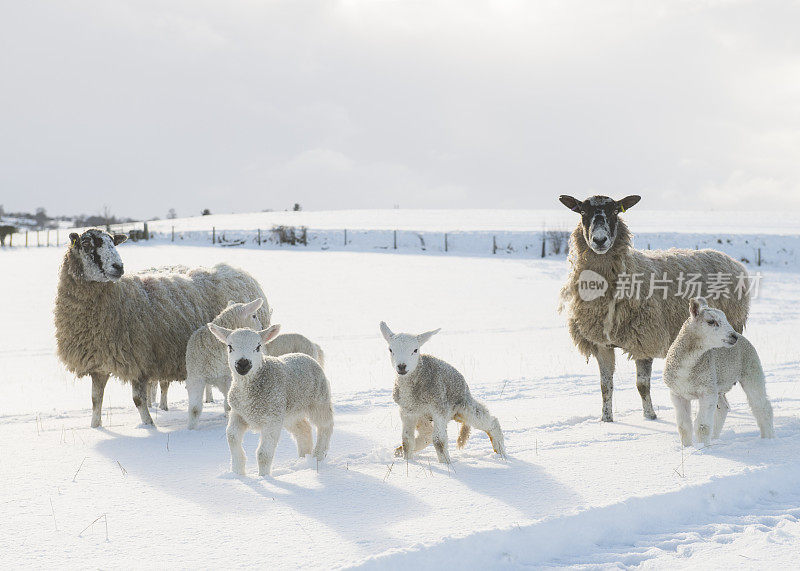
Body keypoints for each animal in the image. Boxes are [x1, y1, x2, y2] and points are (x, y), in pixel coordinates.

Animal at [54, 227, 272, 424]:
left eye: (113, 243)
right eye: (86, 244)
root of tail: (240, 272)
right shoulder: (98, 363)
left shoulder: (139, 360)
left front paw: (149, 426)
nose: (118, 267)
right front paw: (95, 426)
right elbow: (95, 399)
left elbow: (138, 400)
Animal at [209, 322, 334, 478]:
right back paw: (304, 459)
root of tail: (307, 356)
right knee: (303, 430)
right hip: (289, 413)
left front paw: (264, 477)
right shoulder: (238, 413)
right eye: (230, 347)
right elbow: (231, 437)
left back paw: (318, 457)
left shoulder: (271, 420)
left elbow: (263, 454)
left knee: (325, 425)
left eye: (258, 347)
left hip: (319, 399)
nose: (243, 364)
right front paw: (238, 474)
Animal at [380, 322, 506, 464]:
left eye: (415, 350)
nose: (401, 366)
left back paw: (501, 453)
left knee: (491, 422)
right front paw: (408, 462)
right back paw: (398, 451)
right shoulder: (407, 411)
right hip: (424, 416)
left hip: (463, 407)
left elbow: (439, 441)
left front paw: (446, 464)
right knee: (426, 435)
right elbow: (407, 440)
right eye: (390, 350)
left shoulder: (439, 409)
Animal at [556, 197, 752, 424]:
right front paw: (606, 420)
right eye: (582, 212)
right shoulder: (601, 344)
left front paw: (650, 416)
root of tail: (732, 260)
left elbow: (642, 385)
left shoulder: (644, 339)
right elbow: (605, 385)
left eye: (615, 211)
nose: (599, 240)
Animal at [664, 298, 772, 450]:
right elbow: (683, 427)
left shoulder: (707, 391)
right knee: (723, 408)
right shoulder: (677, 394)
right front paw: (687, 448)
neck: (688, 368)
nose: (733, 336)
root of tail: (743, 338)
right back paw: (715, 439)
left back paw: (767, 439)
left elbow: (702, 426)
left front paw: (703, 449)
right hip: (718, 384)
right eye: (711, 321)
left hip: (751, 369)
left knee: (762, 407)